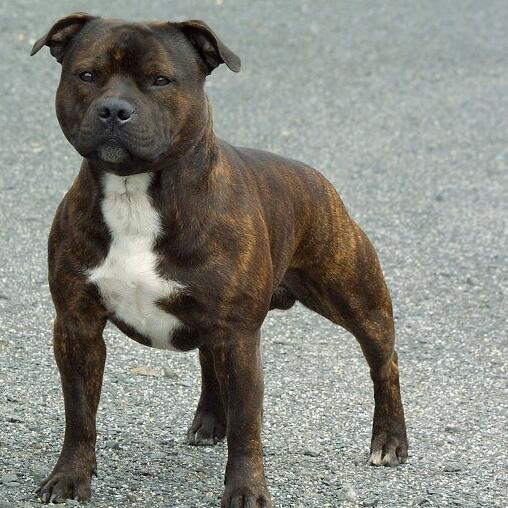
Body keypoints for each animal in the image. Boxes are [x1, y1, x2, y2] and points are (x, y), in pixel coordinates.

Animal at [31, 13, 408, 507]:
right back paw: (210, 421)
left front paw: (246, 490)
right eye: (87, 75)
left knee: (385, 363)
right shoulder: (76, 324)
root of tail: (316, 177)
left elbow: (248, 426)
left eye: (160, 80)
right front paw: (69, 477)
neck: (135, 193)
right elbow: (79, 413)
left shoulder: (240, 335)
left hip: (359, 301)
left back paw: (390, 440)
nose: (114, 110)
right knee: (209, 359)